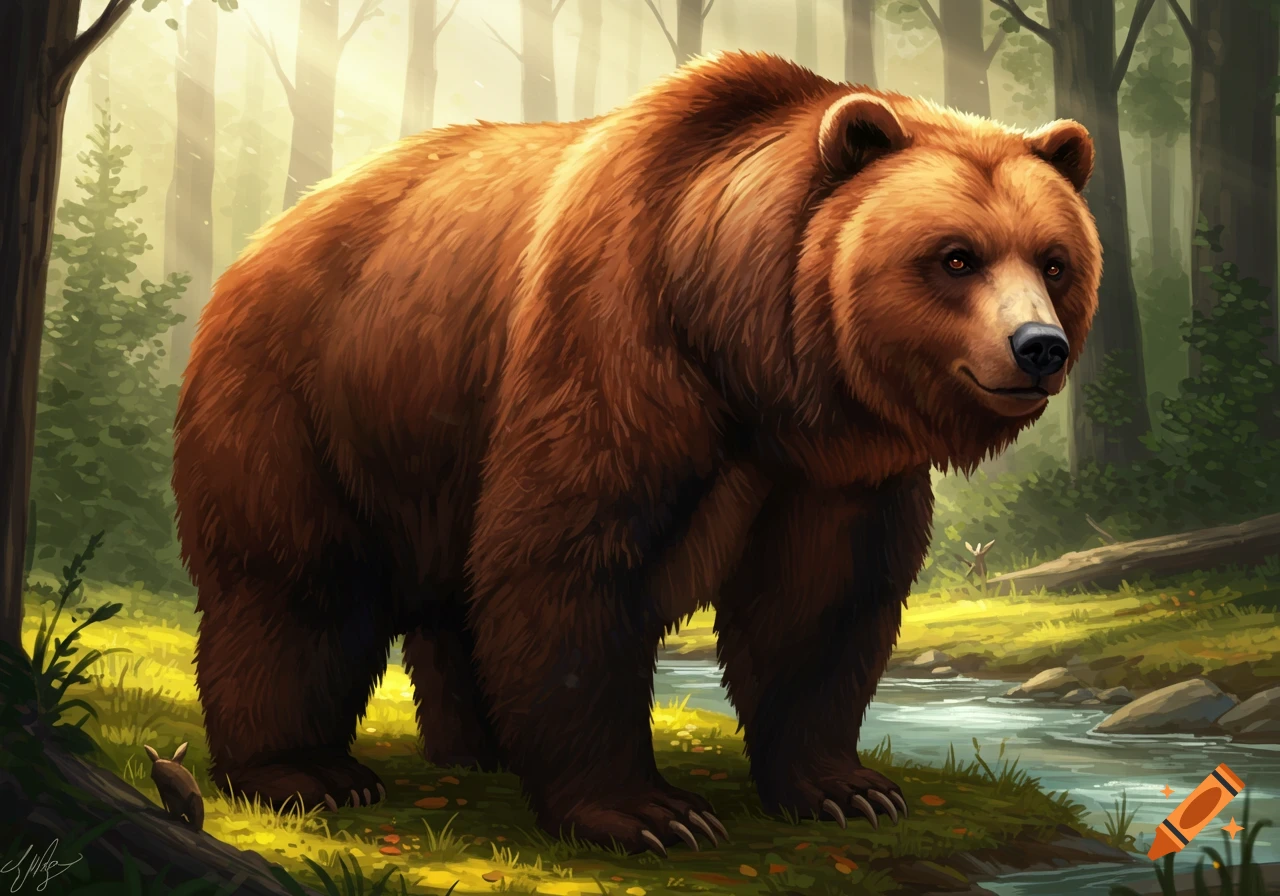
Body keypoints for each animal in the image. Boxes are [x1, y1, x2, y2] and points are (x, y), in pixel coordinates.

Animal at [171, 50, 1100, 854]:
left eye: (1054, 261)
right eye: (956, 256)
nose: (1038, 348)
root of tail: (264, 238)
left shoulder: (837, 467)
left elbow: (823, 599)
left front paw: (848, 788)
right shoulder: (615, 349)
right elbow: (570, 562)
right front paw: (651, 813)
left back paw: (480, 749)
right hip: (314, 401)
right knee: (297, 586)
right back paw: (308, 772)